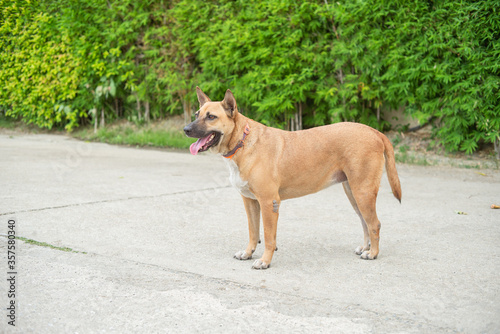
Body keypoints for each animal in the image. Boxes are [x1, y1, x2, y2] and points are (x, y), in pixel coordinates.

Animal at [185, 87, 402, 268]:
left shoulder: (269, 202)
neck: (242, 141)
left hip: (362, 192)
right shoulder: (250, 202)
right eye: (197, 114)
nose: (186, 129)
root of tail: (374, 131)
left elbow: (268, 237)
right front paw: (248, 253)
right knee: (365, 222)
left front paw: (265, 261)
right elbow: (253, 232)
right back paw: (365, 247)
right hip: (353, 193)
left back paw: (373, 253)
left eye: (211, 116)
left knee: (374, 224)